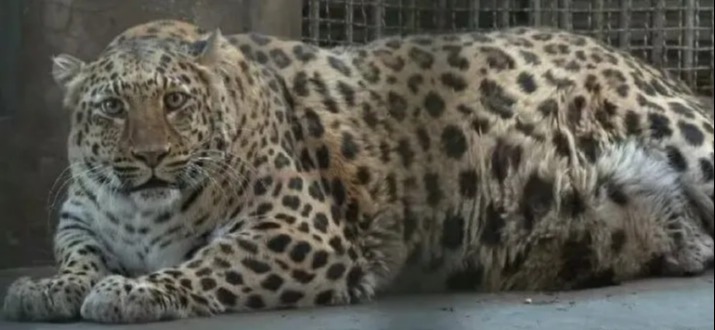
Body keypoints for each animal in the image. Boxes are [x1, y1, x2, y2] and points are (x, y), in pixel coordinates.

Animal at [2, 19, 712, 324]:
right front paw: (50, 288)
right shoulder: (80, 220)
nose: (150, 157)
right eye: (113, 108)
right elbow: (78, 254)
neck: (138, 213)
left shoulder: (299, 232)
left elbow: (208, 263)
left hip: (681, 131)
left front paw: (132, 293)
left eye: (175, 101)